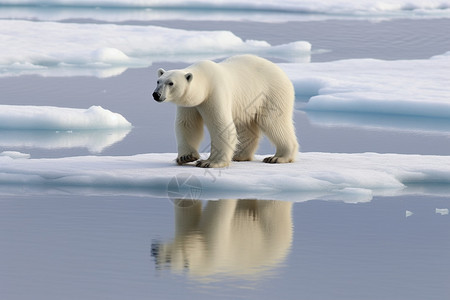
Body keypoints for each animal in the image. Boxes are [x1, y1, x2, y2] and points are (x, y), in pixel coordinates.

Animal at [153, 55, 298, 168]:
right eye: (158, 81)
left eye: (171, 83)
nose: (156, 94)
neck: (205, 81)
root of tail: (283, 73)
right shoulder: (190, 103)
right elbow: (188, 124)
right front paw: (186, 157)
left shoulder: (215, 93)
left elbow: (221, 125)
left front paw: (209, 162)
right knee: (246, 126)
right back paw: (239, 155)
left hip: (271, 94)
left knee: (274, 122)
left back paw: (278, 157)